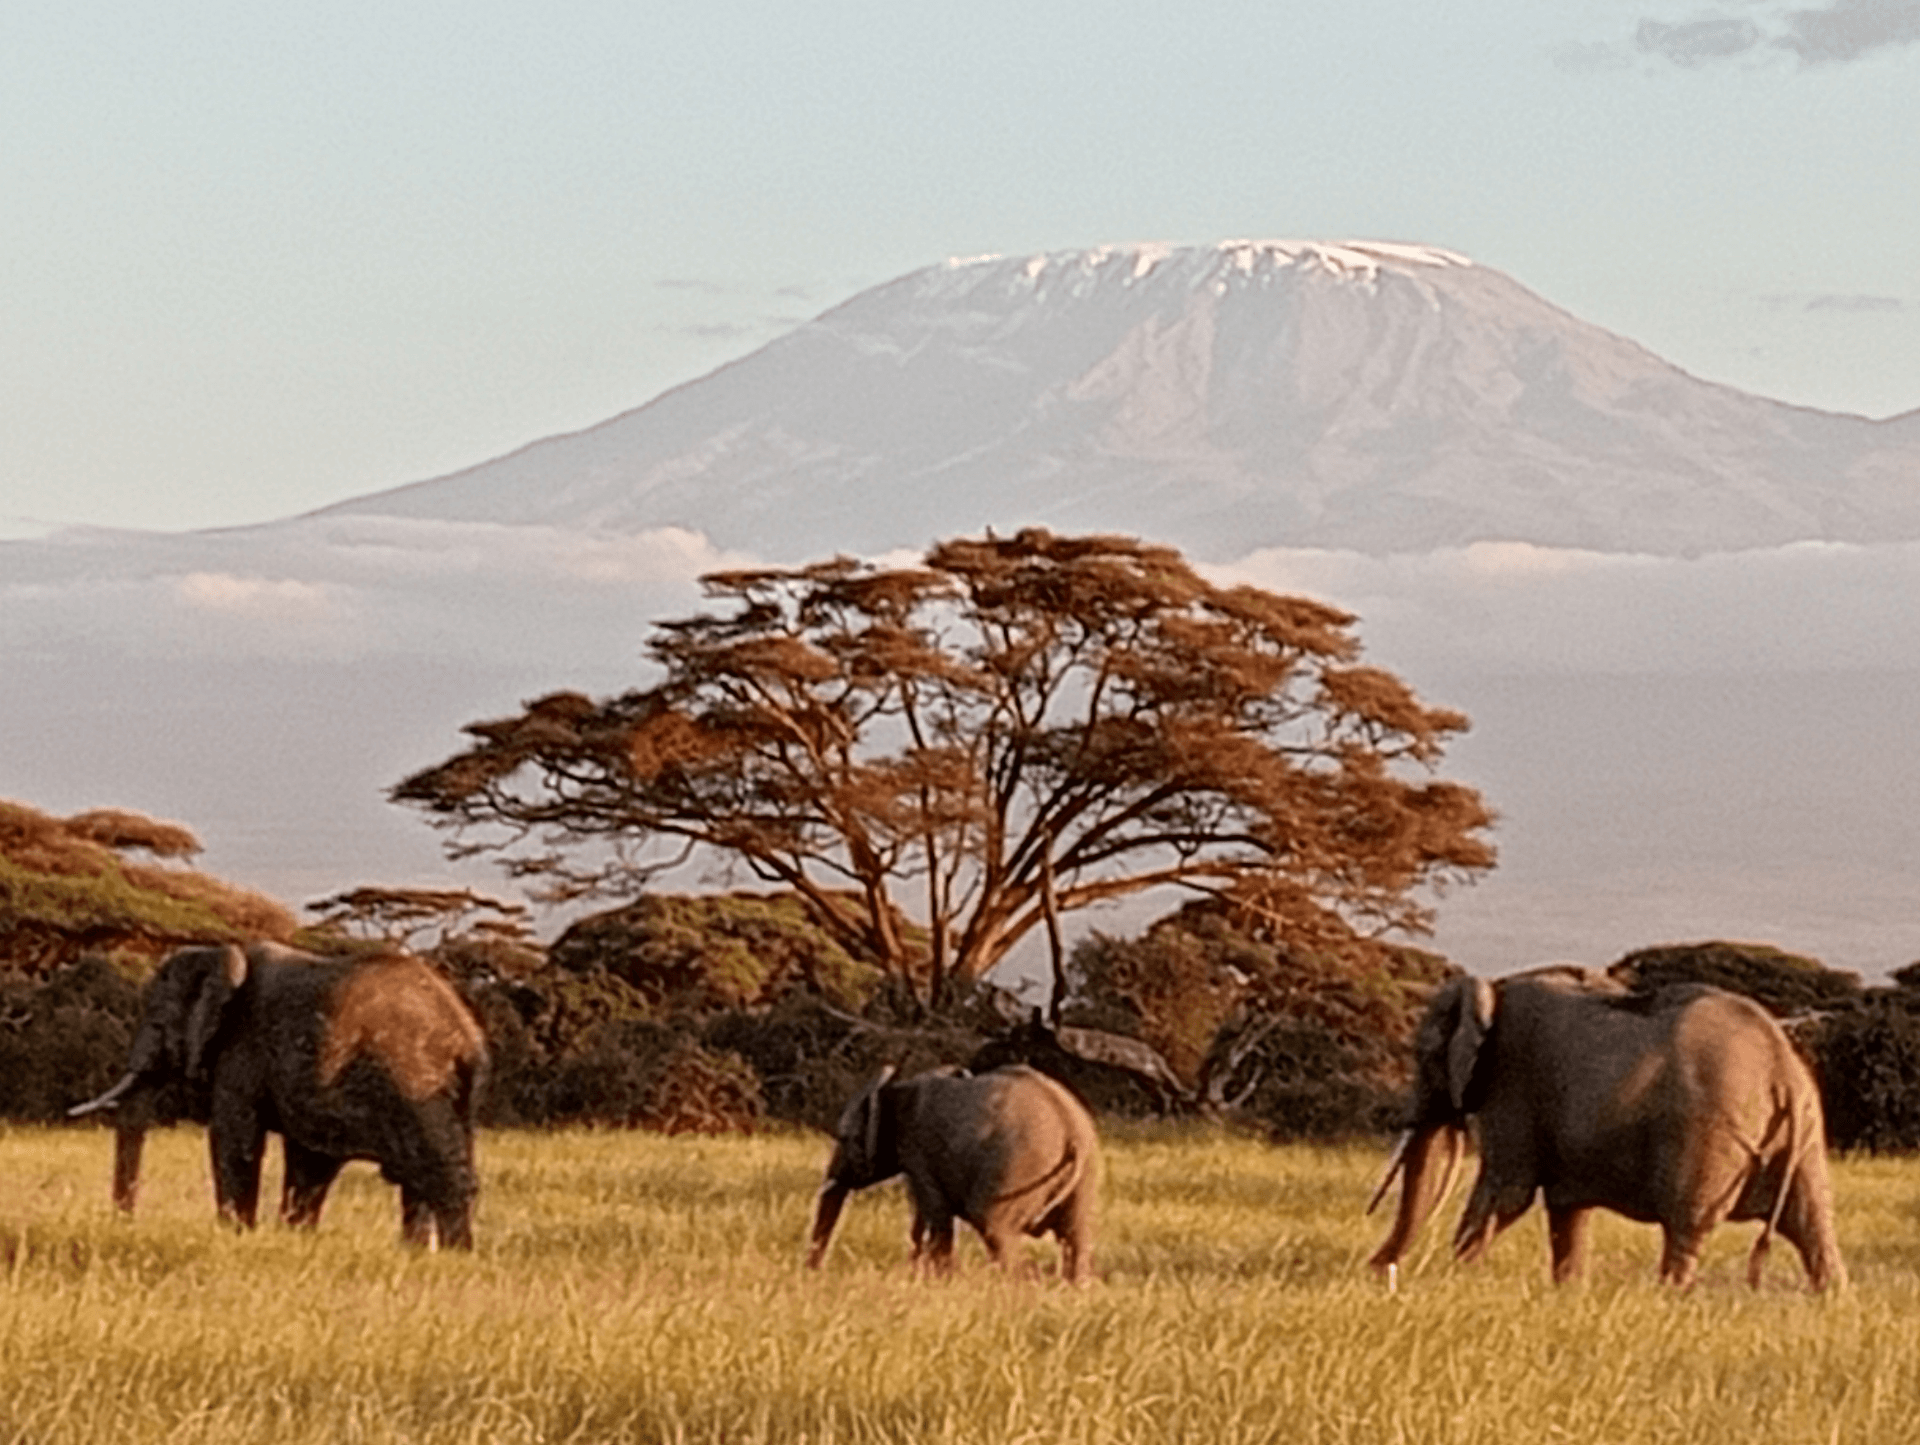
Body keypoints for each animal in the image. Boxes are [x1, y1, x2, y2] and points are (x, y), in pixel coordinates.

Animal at [70, 942, 488, 1249]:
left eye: (157, 1024)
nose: (124, 1222)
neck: (221, 953)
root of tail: (466, 1034)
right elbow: (309, 1162)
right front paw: (296, 1239)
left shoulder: (242, 1048)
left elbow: (234, 1141)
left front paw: (236, 1236)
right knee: (425, 1174)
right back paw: (418, 1254)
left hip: (414, 1076)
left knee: (436, 1171)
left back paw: (453, 1257)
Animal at [805, 1064, 1100, 1283]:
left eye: (844, 1138)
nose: (814, 1273)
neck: (896, 1090)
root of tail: (1072, 1130)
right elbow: (923, 1216)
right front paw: (919, 1275)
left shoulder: (918, 1150)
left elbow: (935, 1213)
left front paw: (937, 1281)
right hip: (1083, 1179)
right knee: (1076, 1237)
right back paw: (1073, 1288)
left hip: (1017, 1169)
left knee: (994, 1228)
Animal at [1368, 965, 1845, 1290]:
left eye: (1424, 1054)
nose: (1374, 1270)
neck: (1490, 988)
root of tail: (1782, 1072)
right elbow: (1566, 1210)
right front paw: (1567, 1292)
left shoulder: (1511, 1080)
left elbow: (1508, 1193)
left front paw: (1453, 1279)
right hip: (1803, 1134)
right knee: (1814, 1226)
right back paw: (1832, 1300)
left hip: (1712, 1137)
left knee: (1685, 1229)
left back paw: (1668, 1299)